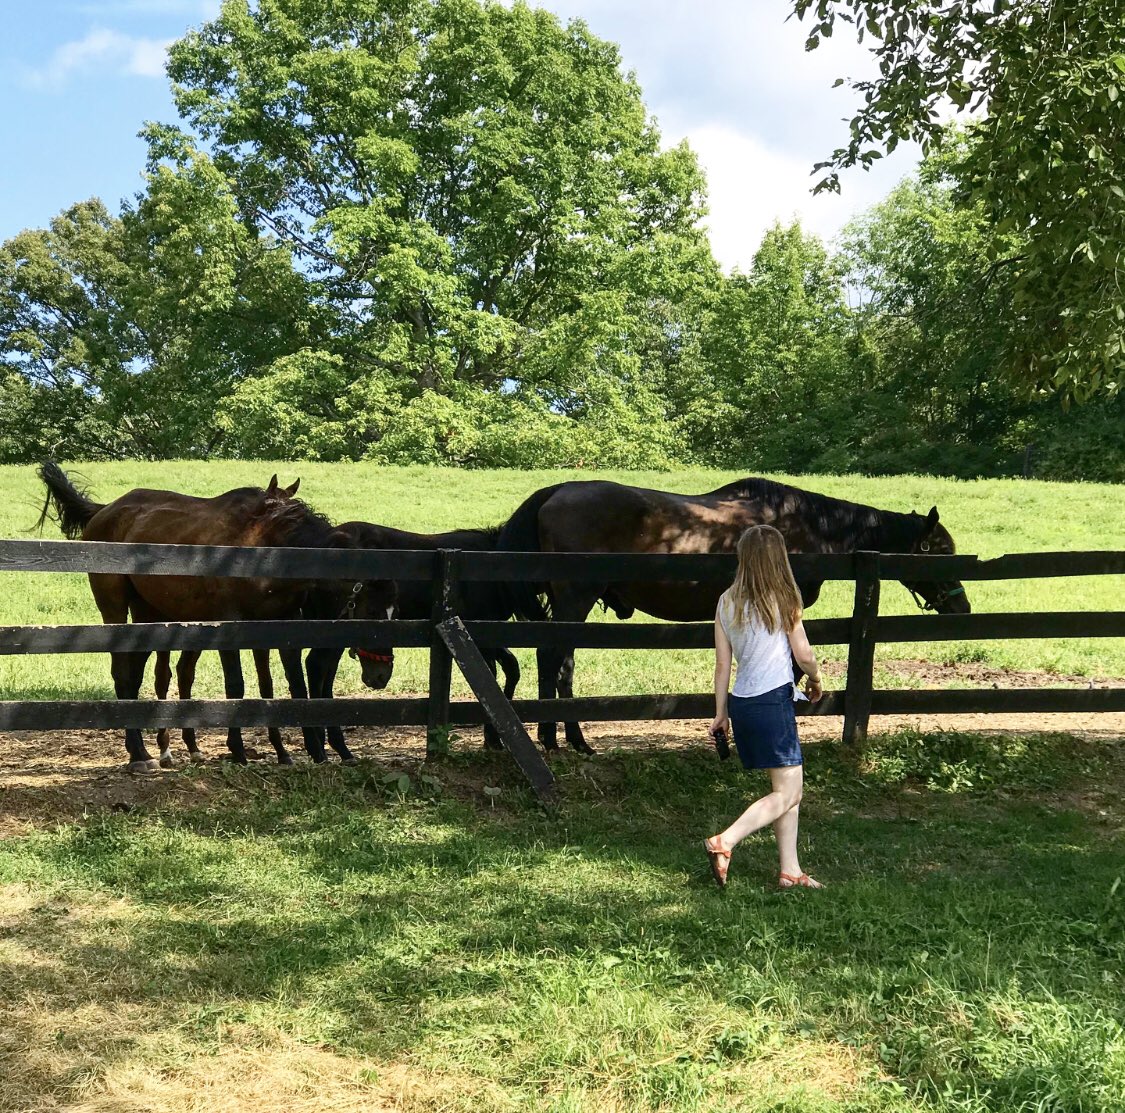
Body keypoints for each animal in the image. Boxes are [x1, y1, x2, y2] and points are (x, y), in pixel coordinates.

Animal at [37, 463, 398, 774]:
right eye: (372, 611)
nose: (381, 675)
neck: (268, 549)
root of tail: (105, 510)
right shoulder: (230, 626)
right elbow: (236, 686)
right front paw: (238, 751)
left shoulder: (281, 626)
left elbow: (286, 686)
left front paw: (304, 751)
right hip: (113, 608)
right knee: (123, 674)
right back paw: (139, 755)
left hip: (147, 614)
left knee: (140, 673)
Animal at [497, 472, 972, 751]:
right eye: (942, 551)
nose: (962, 605)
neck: (808, 528)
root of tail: (555, 492)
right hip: (574, 603)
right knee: (556, 662)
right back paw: (565, 738)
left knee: (553, 663)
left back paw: (558, 739)